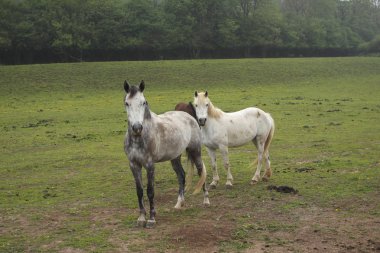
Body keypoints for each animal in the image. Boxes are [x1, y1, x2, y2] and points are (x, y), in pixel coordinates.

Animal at [124, 81, 208, 227]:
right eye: (127, 103)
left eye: (143, 102)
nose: (137, 128)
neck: (139, 138)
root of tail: (191, 117)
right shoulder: (134, 165)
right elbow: (139, 191)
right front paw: (141, 218)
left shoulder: (150, 165)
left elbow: (150, 191)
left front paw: (151, 219)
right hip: (175, 157)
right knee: (181, 175)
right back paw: (179, 203)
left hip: (195, 151)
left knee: (200, 172)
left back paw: (206, 201)